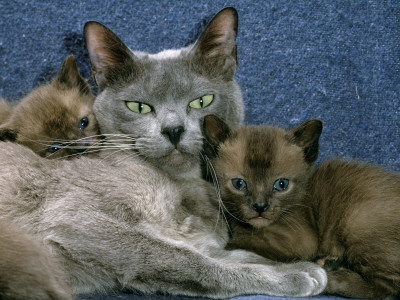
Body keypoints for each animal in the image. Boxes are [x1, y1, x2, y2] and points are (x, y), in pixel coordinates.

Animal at [0, 6, 326, 298]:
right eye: (139, 107)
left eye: (200, 101)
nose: (173, 130)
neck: (181, 186)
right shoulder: (80, 221)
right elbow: (189, 261)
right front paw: (292, 276)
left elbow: (226, 254)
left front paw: (300, 266)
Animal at [203, 114, 400, 298]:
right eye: (239, 184)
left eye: (281, 184)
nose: (260, 206)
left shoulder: (300, 241)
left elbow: (236, 244)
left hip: (356, 222)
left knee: (388, 288)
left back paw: (330, 276)